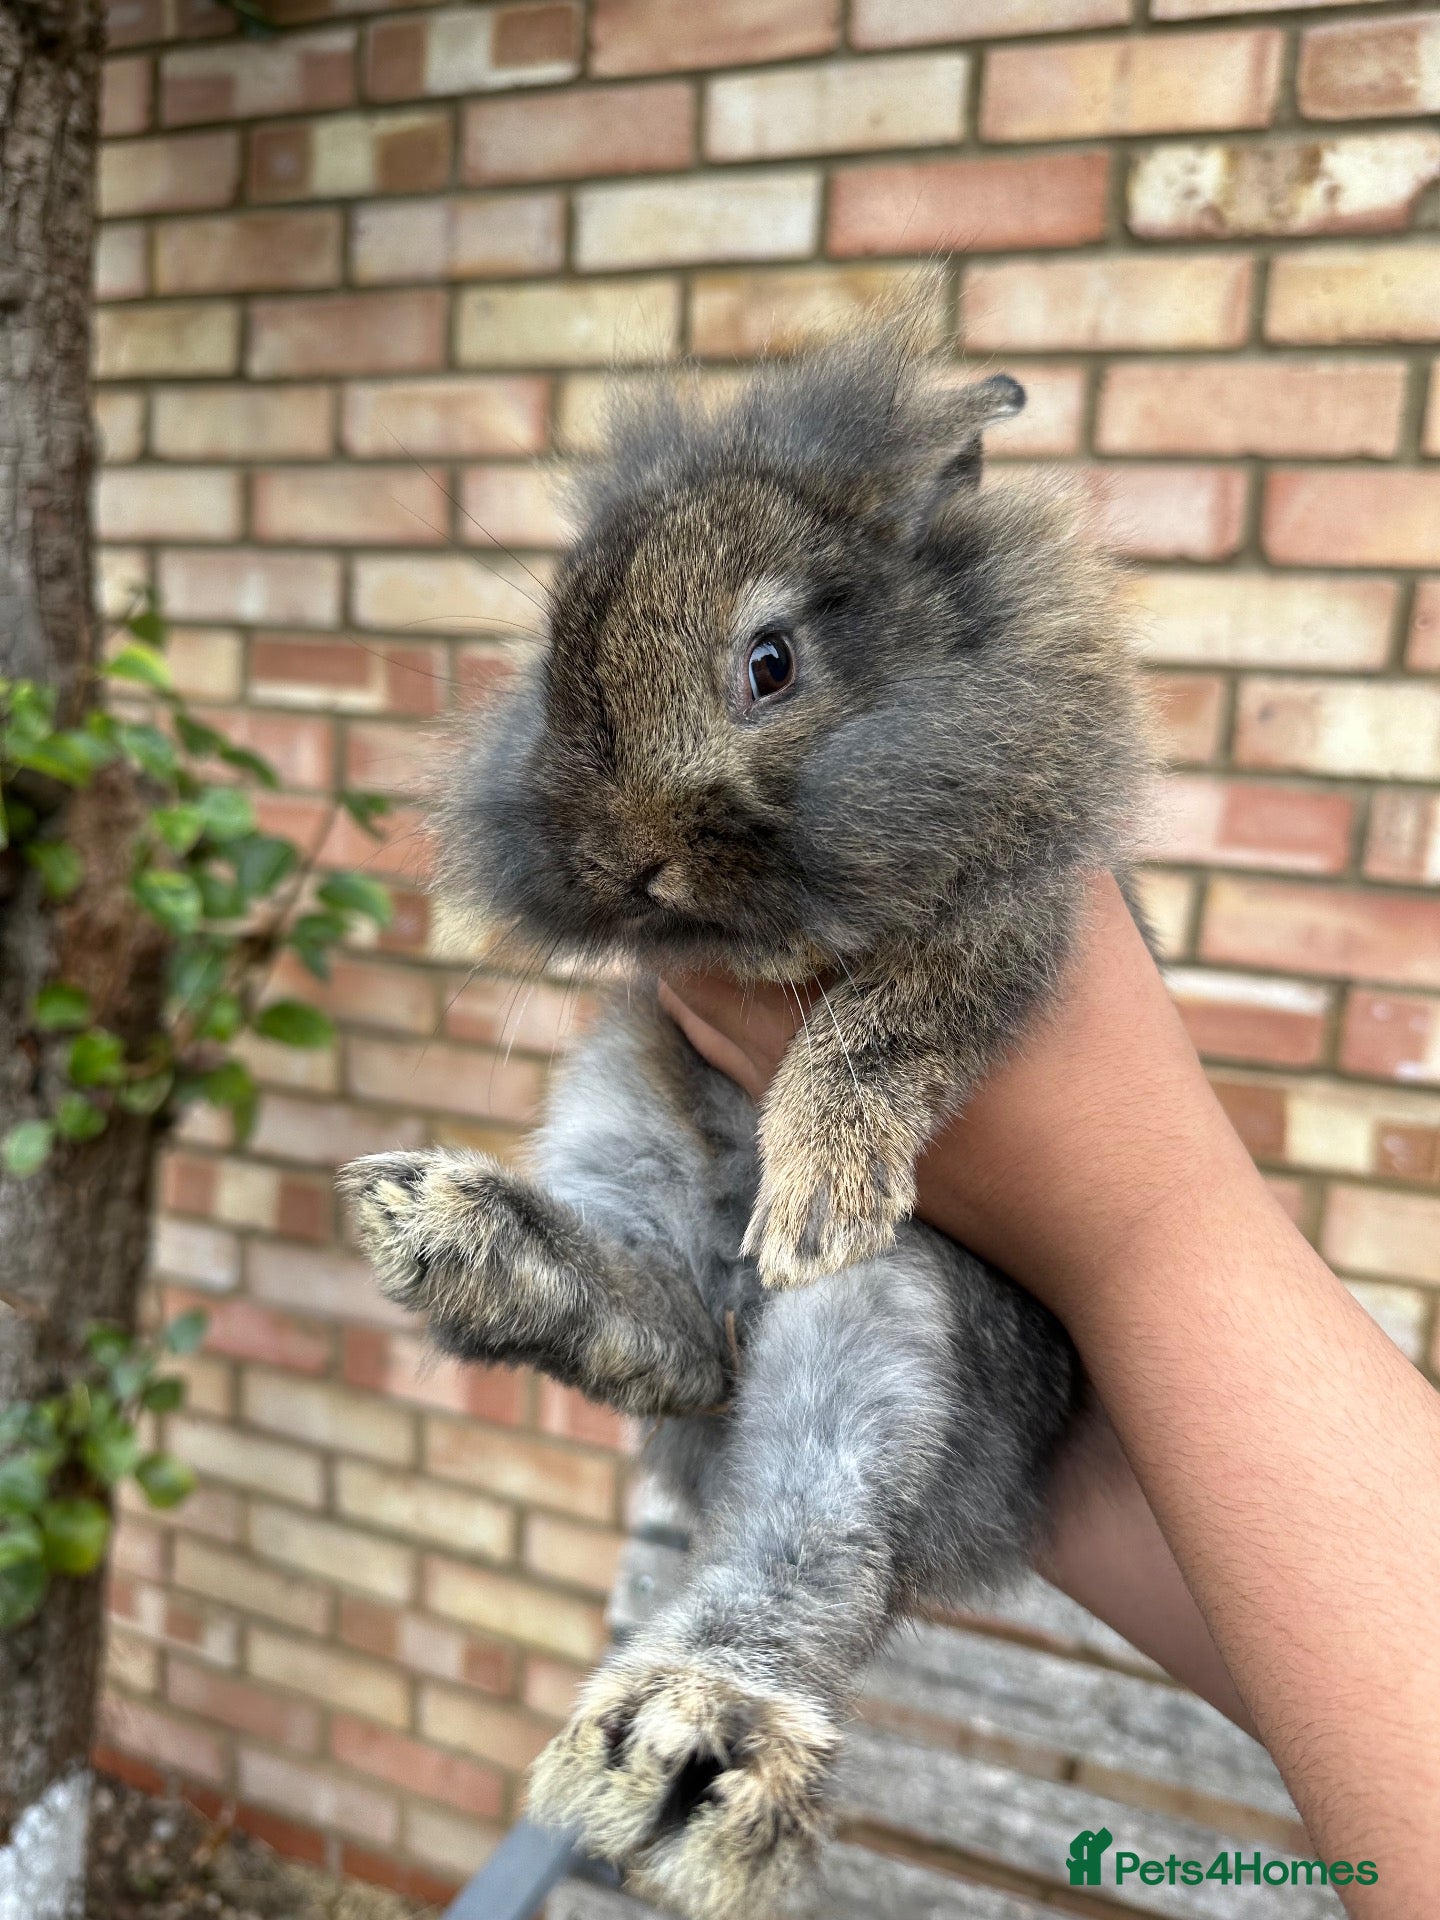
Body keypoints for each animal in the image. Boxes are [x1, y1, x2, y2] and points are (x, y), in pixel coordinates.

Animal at [339, 326, 1150, 1920]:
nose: (627, 859)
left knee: (812, 1533)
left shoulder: (1007, 921)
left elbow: (888, 1019)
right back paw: (449, 1231)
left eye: (769, 666)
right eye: (557, 674)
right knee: (668, 1336)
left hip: (895, 1331)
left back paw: (694, 1743)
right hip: (622, 1111)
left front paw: (821, 1185)